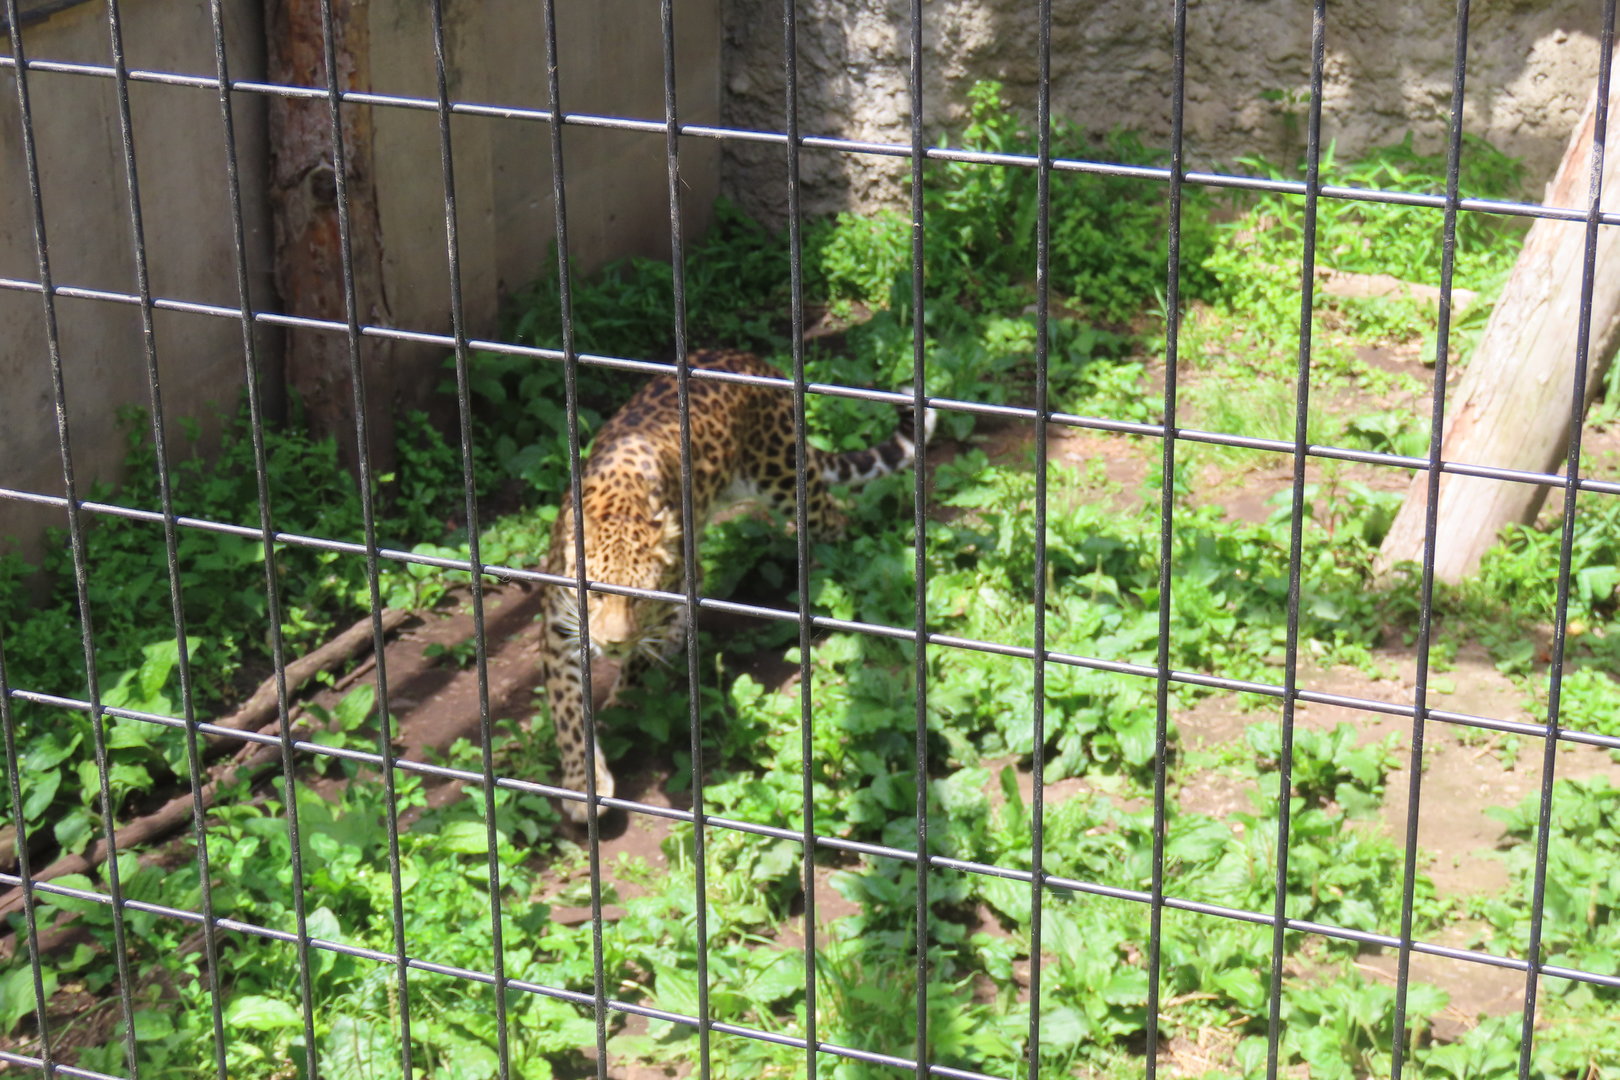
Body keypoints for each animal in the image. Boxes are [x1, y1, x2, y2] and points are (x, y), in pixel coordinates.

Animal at [538, 349, 934, 823]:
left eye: (641, 599)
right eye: (595, 594)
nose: (612, 645)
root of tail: (756, 361)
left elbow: (648, 650)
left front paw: (626, 697)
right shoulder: (558, 625)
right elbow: (568, 710)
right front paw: (584, 783)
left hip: (784, 478)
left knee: (835, 520)